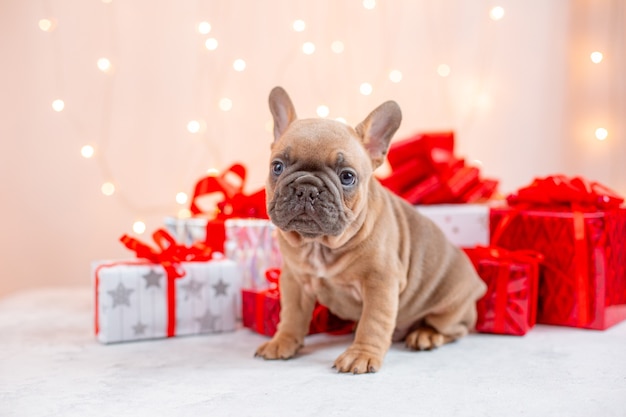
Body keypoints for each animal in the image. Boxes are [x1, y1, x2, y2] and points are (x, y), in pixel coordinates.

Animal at [252, 86, 482, 372]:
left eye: (347, 177)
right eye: (277, 167)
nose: (306, 188)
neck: (320, 245)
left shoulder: (380, 282)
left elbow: (373, 322)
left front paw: (361, 354)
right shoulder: (295, 281)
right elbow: (292, 315)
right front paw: (282, 341)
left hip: (450, 307)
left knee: (454, 328)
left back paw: (426, 334)